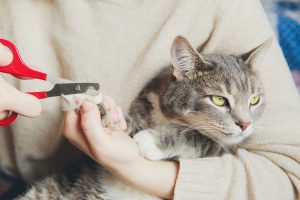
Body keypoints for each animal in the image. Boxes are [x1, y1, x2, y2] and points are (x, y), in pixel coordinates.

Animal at [16, 36, 270, 200]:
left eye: (254, 100)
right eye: (219, 100)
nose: (245, 124)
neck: (169, 118)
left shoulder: (228, 148)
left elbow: (199, 138)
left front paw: (154, 141)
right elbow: (125, 124)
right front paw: (88, 100)